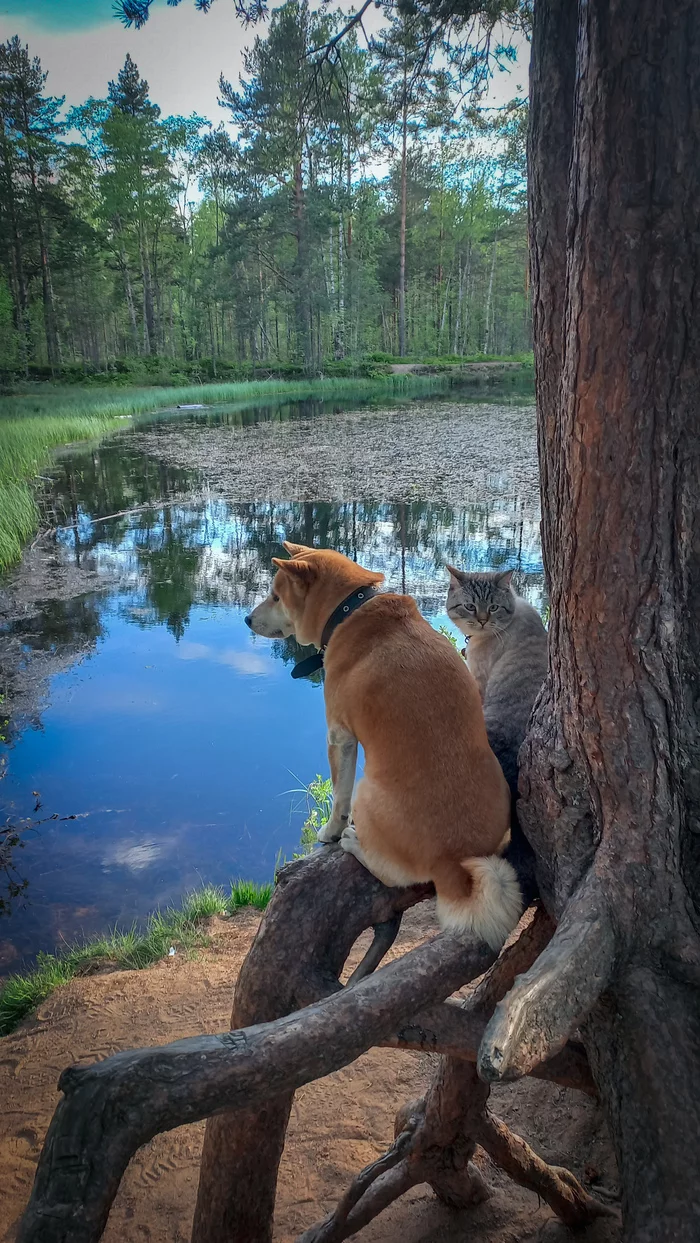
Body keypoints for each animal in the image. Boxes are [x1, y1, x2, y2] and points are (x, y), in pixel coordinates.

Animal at [248, 539, 522, 944]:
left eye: (275, 596)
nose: (247, 620)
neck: (351, 609)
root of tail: (452, 861)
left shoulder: (339, 736)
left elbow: (338, 796)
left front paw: (330, 833)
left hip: (367, 791)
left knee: (392, 876)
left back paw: (353, 843)